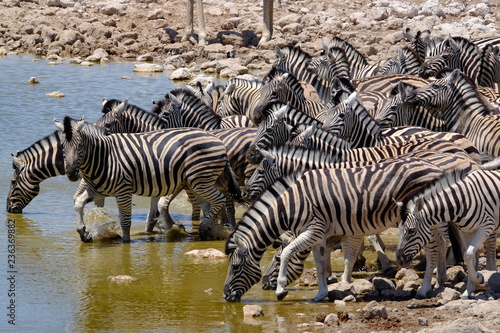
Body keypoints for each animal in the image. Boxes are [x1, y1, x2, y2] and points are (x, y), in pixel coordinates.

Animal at [56, 116, 240, 241]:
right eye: (62, 146)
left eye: (80, 147)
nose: (71, 173)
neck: (105, 158)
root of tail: (216, 138)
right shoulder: (97, 190)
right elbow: (79, 203)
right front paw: (83, 232)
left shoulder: (123, 191)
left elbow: (125, 222)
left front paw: (125, 243)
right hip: (195, 182)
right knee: (208, 205)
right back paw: (207, 230)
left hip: (200, 180)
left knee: (219, 199)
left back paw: (203, 228)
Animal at [225, 156, 444, 300]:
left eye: (235, 267)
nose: (226, 295)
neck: (290, 205)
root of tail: (434, 166)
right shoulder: (318, 235)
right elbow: (320, 264)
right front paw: (321, 294)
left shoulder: (313, 230)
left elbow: (288, 252)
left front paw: (280, 289)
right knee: (441, 244)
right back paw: (439, 282)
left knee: (433, 248)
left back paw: (424, 289)